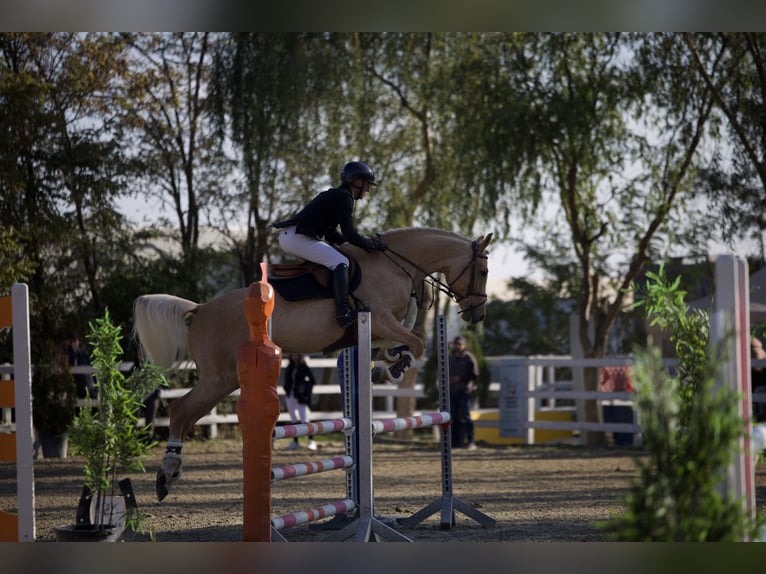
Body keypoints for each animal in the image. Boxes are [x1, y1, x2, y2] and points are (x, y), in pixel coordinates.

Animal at [132, 227, 492, 502]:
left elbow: (406, 340)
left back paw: (171, 471)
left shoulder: (379, 328)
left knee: (188, 412)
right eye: (484, 272)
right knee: (180, 409)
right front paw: (392, 366)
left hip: (225, 379)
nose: (477, 315)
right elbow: (415, 344)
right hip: (218, 377)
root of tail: (201, 308)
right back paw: (166, 474)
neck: (396, 265)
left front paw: (385, 362)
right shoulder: (379, 319)